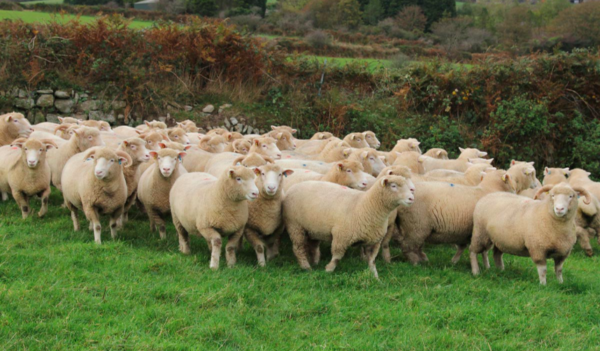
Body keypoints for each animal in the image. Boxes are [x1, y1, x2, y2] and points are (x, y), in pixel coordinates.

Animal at [284, 176, 414, 278]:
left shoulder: (374, 241)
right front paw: (328, 270)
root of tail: (294, 186)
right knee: (298, 248)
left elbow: (372, 261)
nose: (411, 198)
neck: (365, 205)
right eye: (393, 186)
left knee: (313, 246)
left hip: (313, 229)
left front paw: (376, 277)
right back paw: (306, 267)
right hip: (295, 226)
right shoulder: (341, 236)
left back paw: (315, 262)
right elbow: (337, 257)